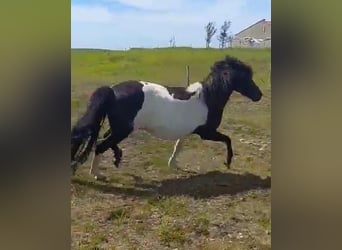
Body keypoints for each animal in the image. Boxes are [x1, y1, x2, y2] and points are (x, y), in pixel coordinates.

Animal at [71, 55, 264, 180]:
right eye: (245, 77)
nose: (259, 95)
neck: (207, 98)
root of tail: (112, 90)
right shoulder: (206, 132)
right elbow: (228, 139)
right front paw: (228, 162)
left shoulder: (187, 131)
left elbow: (178, 147)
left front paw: (173, 165)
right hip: (123, 130)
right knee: (100, 145)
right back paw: (97, 173)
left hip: (119, 128)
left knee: (103, 140)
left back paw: (116, 158)